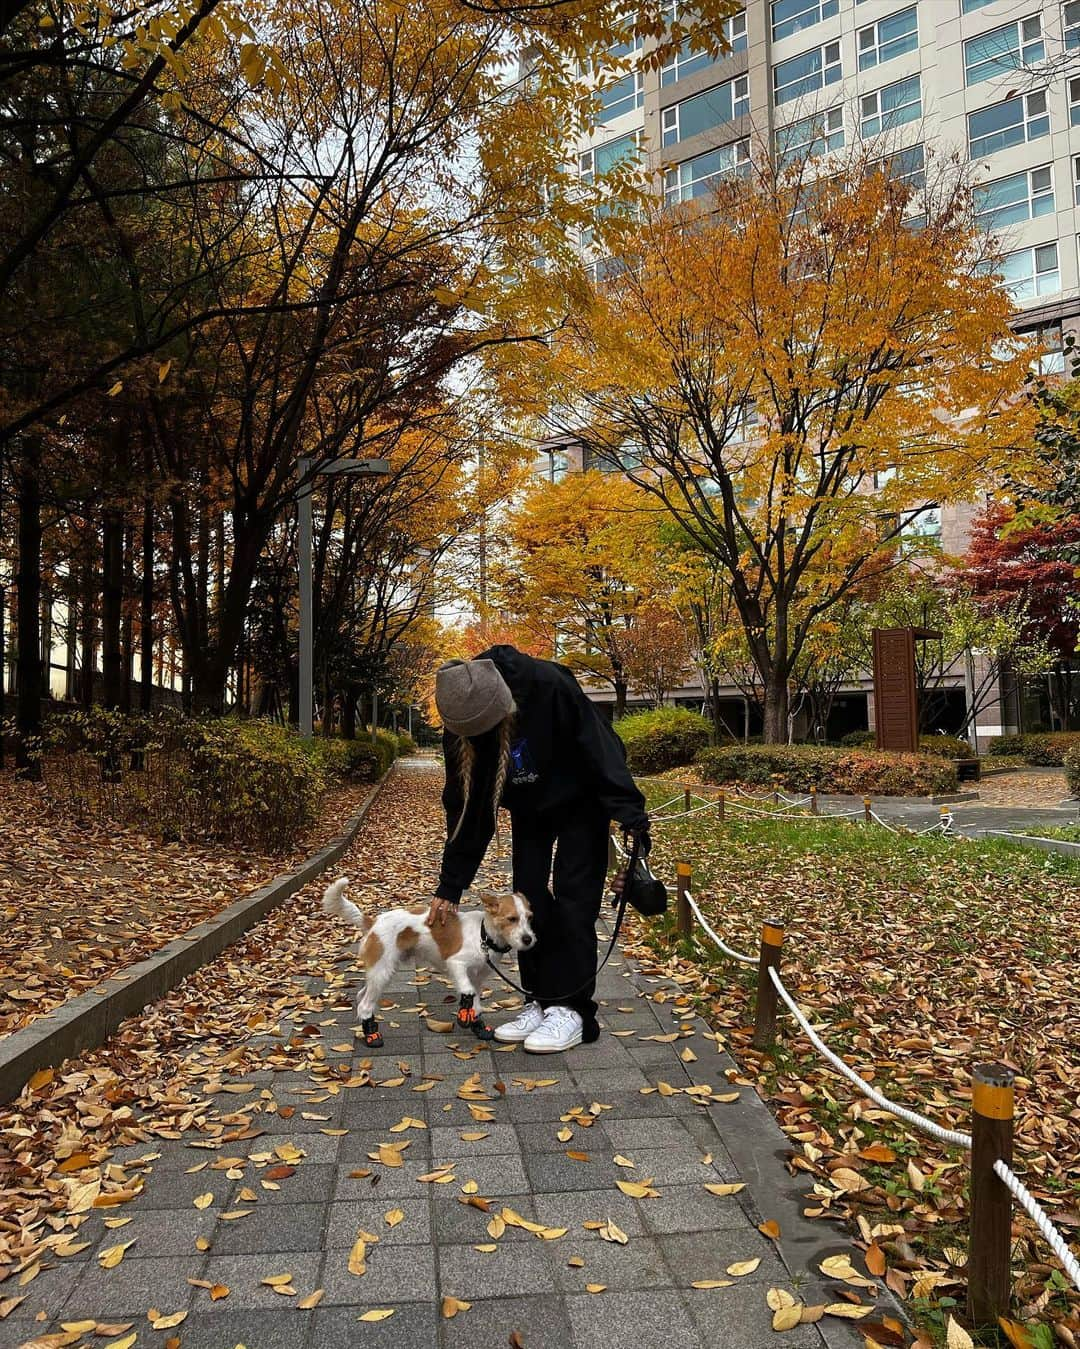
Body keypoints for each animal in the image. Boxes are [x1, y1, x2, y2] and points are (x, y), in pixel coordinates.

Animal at [322, 879, 536, 1046]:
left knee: (362, 996)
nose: (528, 939)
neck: (484, 936)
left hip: (380, 972)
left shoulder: (478, 978)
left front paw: (476, 1023)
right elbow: (467, 991)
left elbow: (476, 1002)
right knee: (365, 1004)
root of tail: (373, 922)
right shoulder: (456, 964)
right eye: (511, 919)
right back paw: (371, 1034)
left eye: (529, 918)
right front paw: (464, 1011)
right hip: (382, 971)